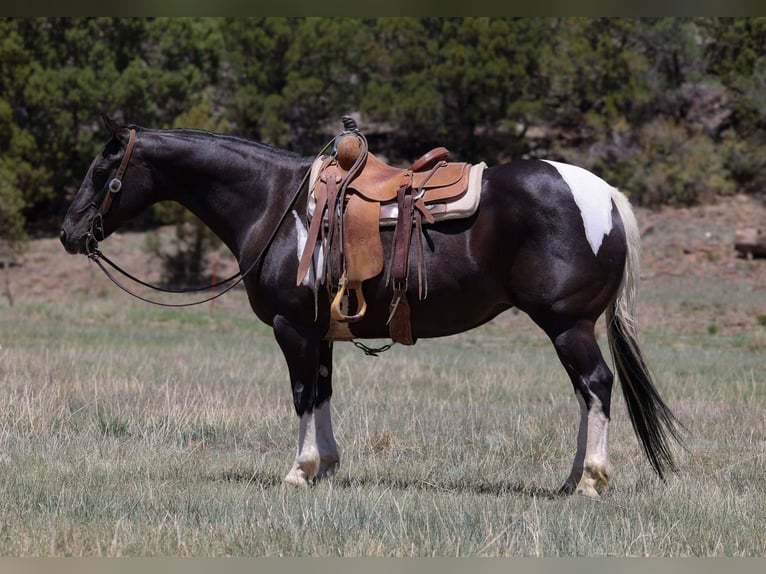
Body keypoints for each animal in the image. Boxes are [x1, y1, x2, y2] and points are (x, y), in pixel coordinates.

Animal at [60, 115, 684, 497]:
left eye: (101, 170)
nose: (68, 232)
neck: (276, 204)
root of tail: (604, 195)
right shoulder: (320, 333)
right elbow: (323, 393)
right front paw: (328, 467)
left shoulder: (292, 328)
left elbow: (301, 395)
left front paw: (300, 471)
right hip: (570, 327)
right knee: (585, 393)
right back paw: (572, 479)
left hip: (567, 325)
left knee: (596, 386)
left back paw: (591, 481)